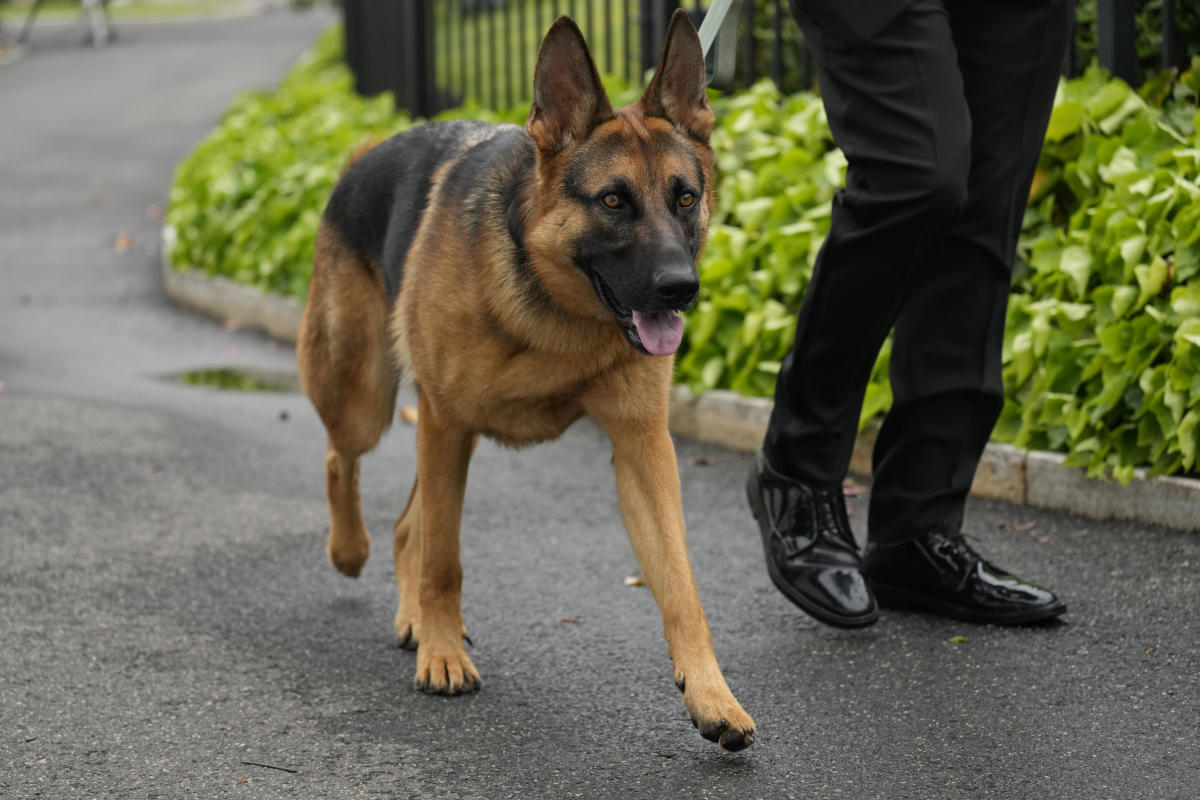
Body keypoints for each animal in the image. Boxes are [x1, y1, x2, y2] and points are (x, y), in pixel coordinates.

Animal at [295, 10, 753, 753]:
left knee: (408, 524)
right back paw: (351, 551)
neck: (556, 310)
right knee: (345, 460)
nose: (681, 289)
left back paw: (412, 614)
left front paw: (713, 695)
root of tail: (362, 155)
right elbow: (445, 560)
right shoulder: (446, 423)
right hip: (368, 398)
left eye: (686, 198)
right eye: (614, 201)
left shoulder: (643, 449)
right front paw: (444, 658)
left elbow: (682, 586)